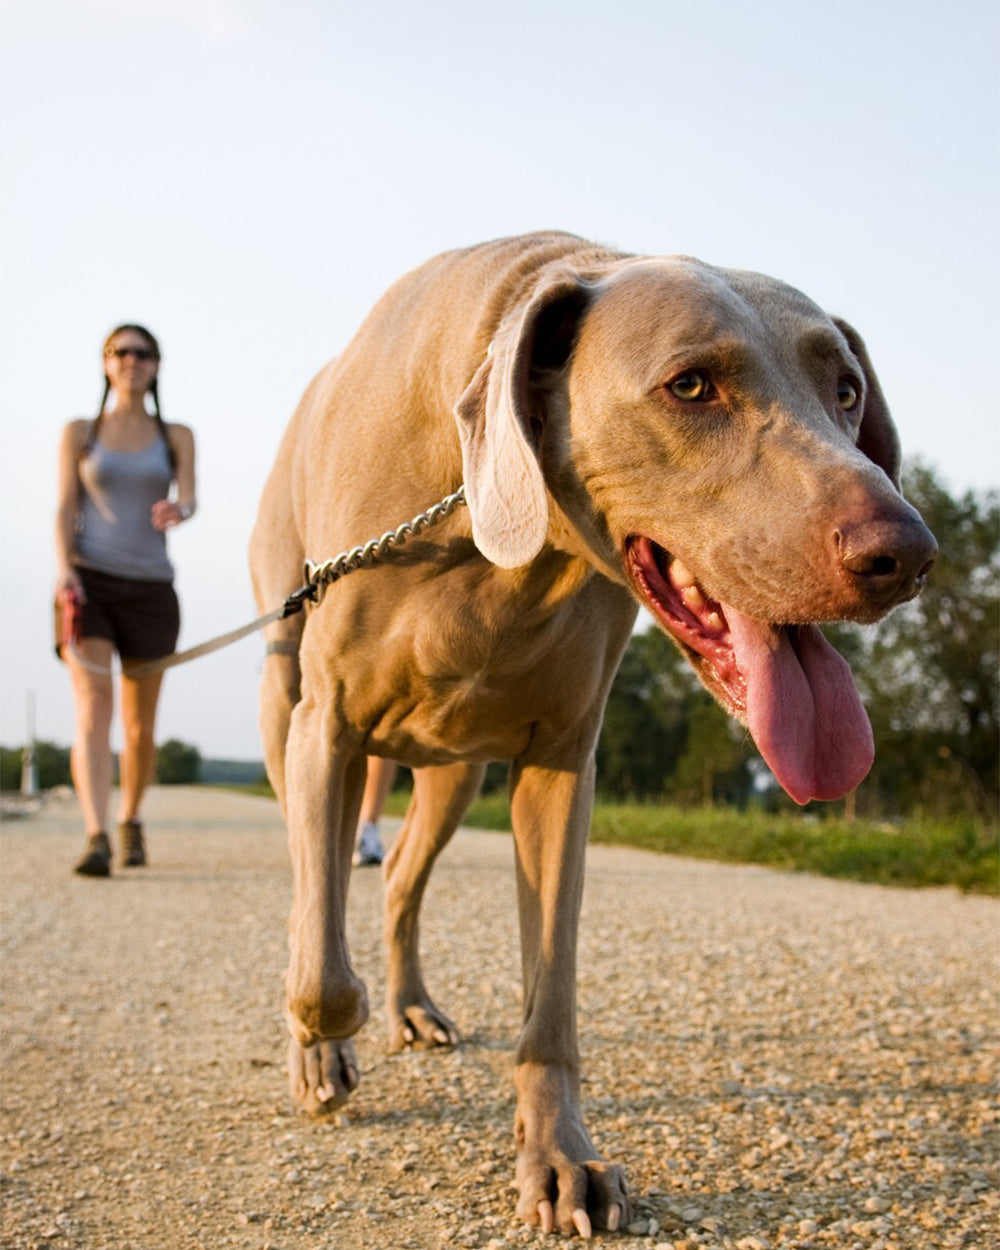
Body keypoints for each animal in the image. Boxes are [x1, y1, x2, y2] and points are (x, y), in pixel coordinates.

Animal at [250, 230, 940, 1235]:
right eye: (690, 385)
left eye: (846, 388)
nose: (906, 553)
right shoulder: (325, 726)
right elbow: (320, 963)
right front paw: (322, 1046)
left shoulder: (562, 759)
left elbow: (552, 994)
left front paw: (559, 1159)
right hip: (287, 694)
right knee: (325, 878)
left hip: (456, 771)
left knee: (400, 882)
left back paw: (411, 1006)